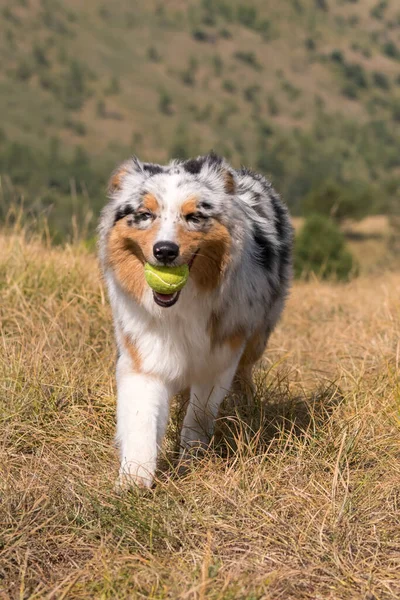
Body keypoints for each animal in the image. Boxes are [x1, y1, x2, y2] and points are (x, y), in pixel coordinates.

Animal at [98, 151, 292, 488]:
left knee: (245, 372)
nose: (164, 251)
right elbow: (141, 419)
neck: (179, 307)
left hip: (257, 335)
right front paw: (134, 479)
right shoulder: (144, 353)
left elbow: (199, 414)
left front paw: (193, 457)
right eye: (145, 214)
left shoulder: (219, 356)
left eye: (194, 217)